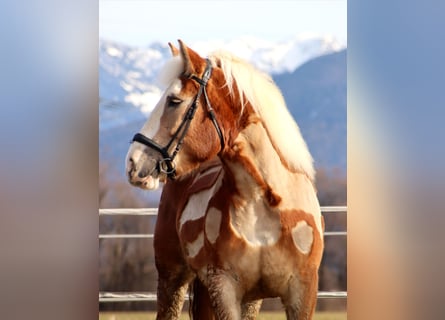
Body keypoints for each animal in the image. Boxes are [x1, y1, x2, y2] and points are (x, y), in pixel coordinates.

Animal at [126, 40, 324, 320]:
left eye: (174, 101)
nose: (132, 163)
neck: (265, 203)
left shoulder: (303, 292)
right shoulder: (224, 288)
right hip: (172, 279)